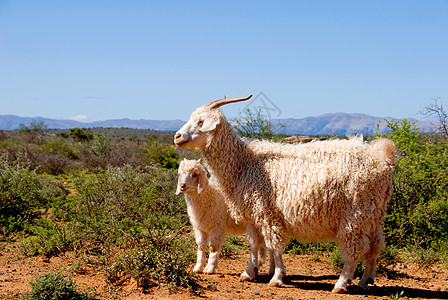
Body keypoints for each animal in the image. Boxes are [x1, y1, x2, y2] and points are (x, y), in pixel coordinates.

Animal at [173, 95, 394, 292]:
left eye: (201, 121)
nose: (177, 137)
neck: (244, 163)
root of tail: (383, 158)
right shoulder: (253, 216)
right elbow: (255, 245)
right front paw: (249, 272)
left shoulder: (268, 213)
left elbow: (275, 246)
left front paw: (277, 277)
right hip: (374, 215)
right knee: (375, 246)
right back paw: (364, 282)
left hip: (354, 216)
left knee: (353, 250)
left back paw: (341, 284)